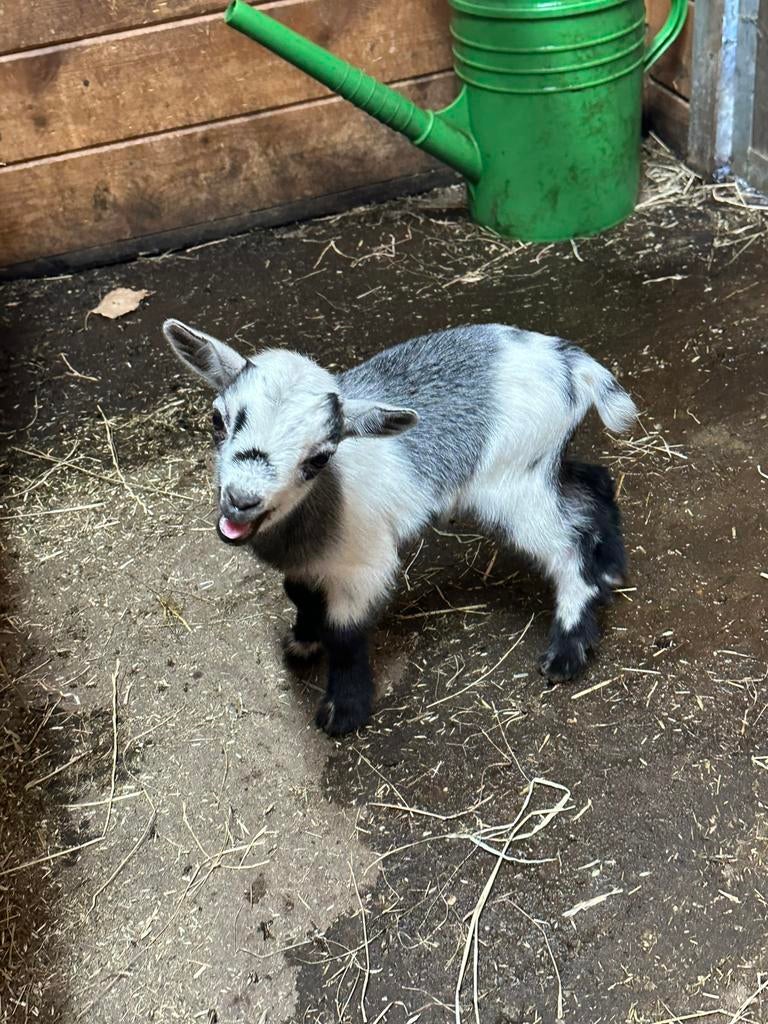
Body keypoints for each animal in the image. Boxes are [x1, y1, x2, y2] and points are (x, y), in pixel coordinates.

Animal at [163, 320, 637, 735]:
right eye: (217, 420)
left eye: (320, 457)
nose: (241, 500)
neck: (325, 500)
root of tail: (571, 362)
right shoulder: (309, 561)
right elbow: (298, 592)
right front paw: (303, 640)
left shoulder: (364, 564)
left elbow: (345, 633)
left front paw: (344, 712)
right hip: (538, 466)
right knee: (594, 482)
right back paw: (611, 568)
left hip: (514, 482)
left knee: (569, 544)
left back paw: (568, 649)